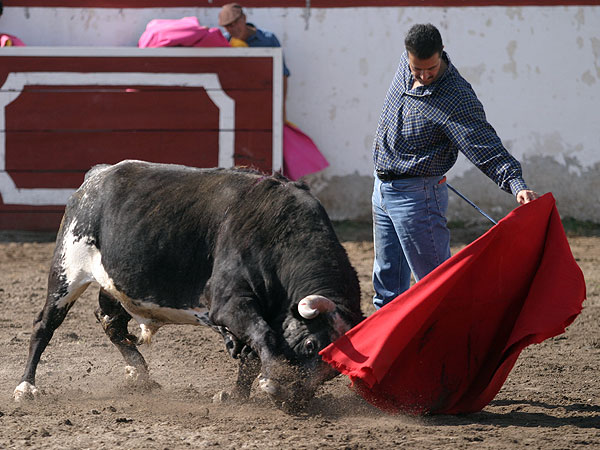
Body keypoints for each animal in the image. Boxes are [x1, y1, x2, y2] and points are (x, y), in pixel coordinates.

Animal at [12, 160, 360, 410]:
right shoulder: (231, 304)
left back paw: (139, 374)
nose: (294, 402)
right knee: (45, 324)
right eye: (311, 345)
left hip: (117, 285)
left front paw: (235, 396)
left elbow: (250, 355)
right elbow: (264, 336)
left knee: (111, 322)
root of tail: (97, 176)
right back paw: (26, 387)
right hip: (67, 270)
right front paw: (272, 381)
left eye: (333, 370)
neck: (280, 235)